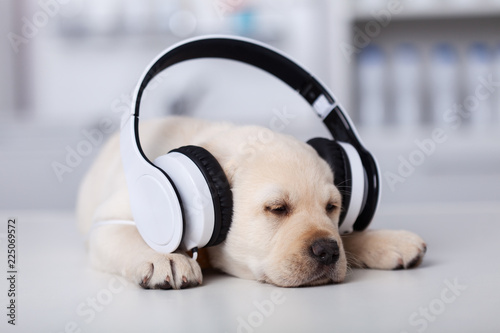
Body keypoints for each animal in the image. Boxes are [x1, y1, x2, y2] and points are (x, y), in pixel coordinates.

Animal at [77, 116, 426, 288]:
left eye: (332, 208)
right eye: (277, 209)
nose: (327, 251)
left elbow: (344, 235)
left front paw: (385, 240)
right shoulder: (107, 222)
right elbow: (128, 235)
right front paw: (166, 258)